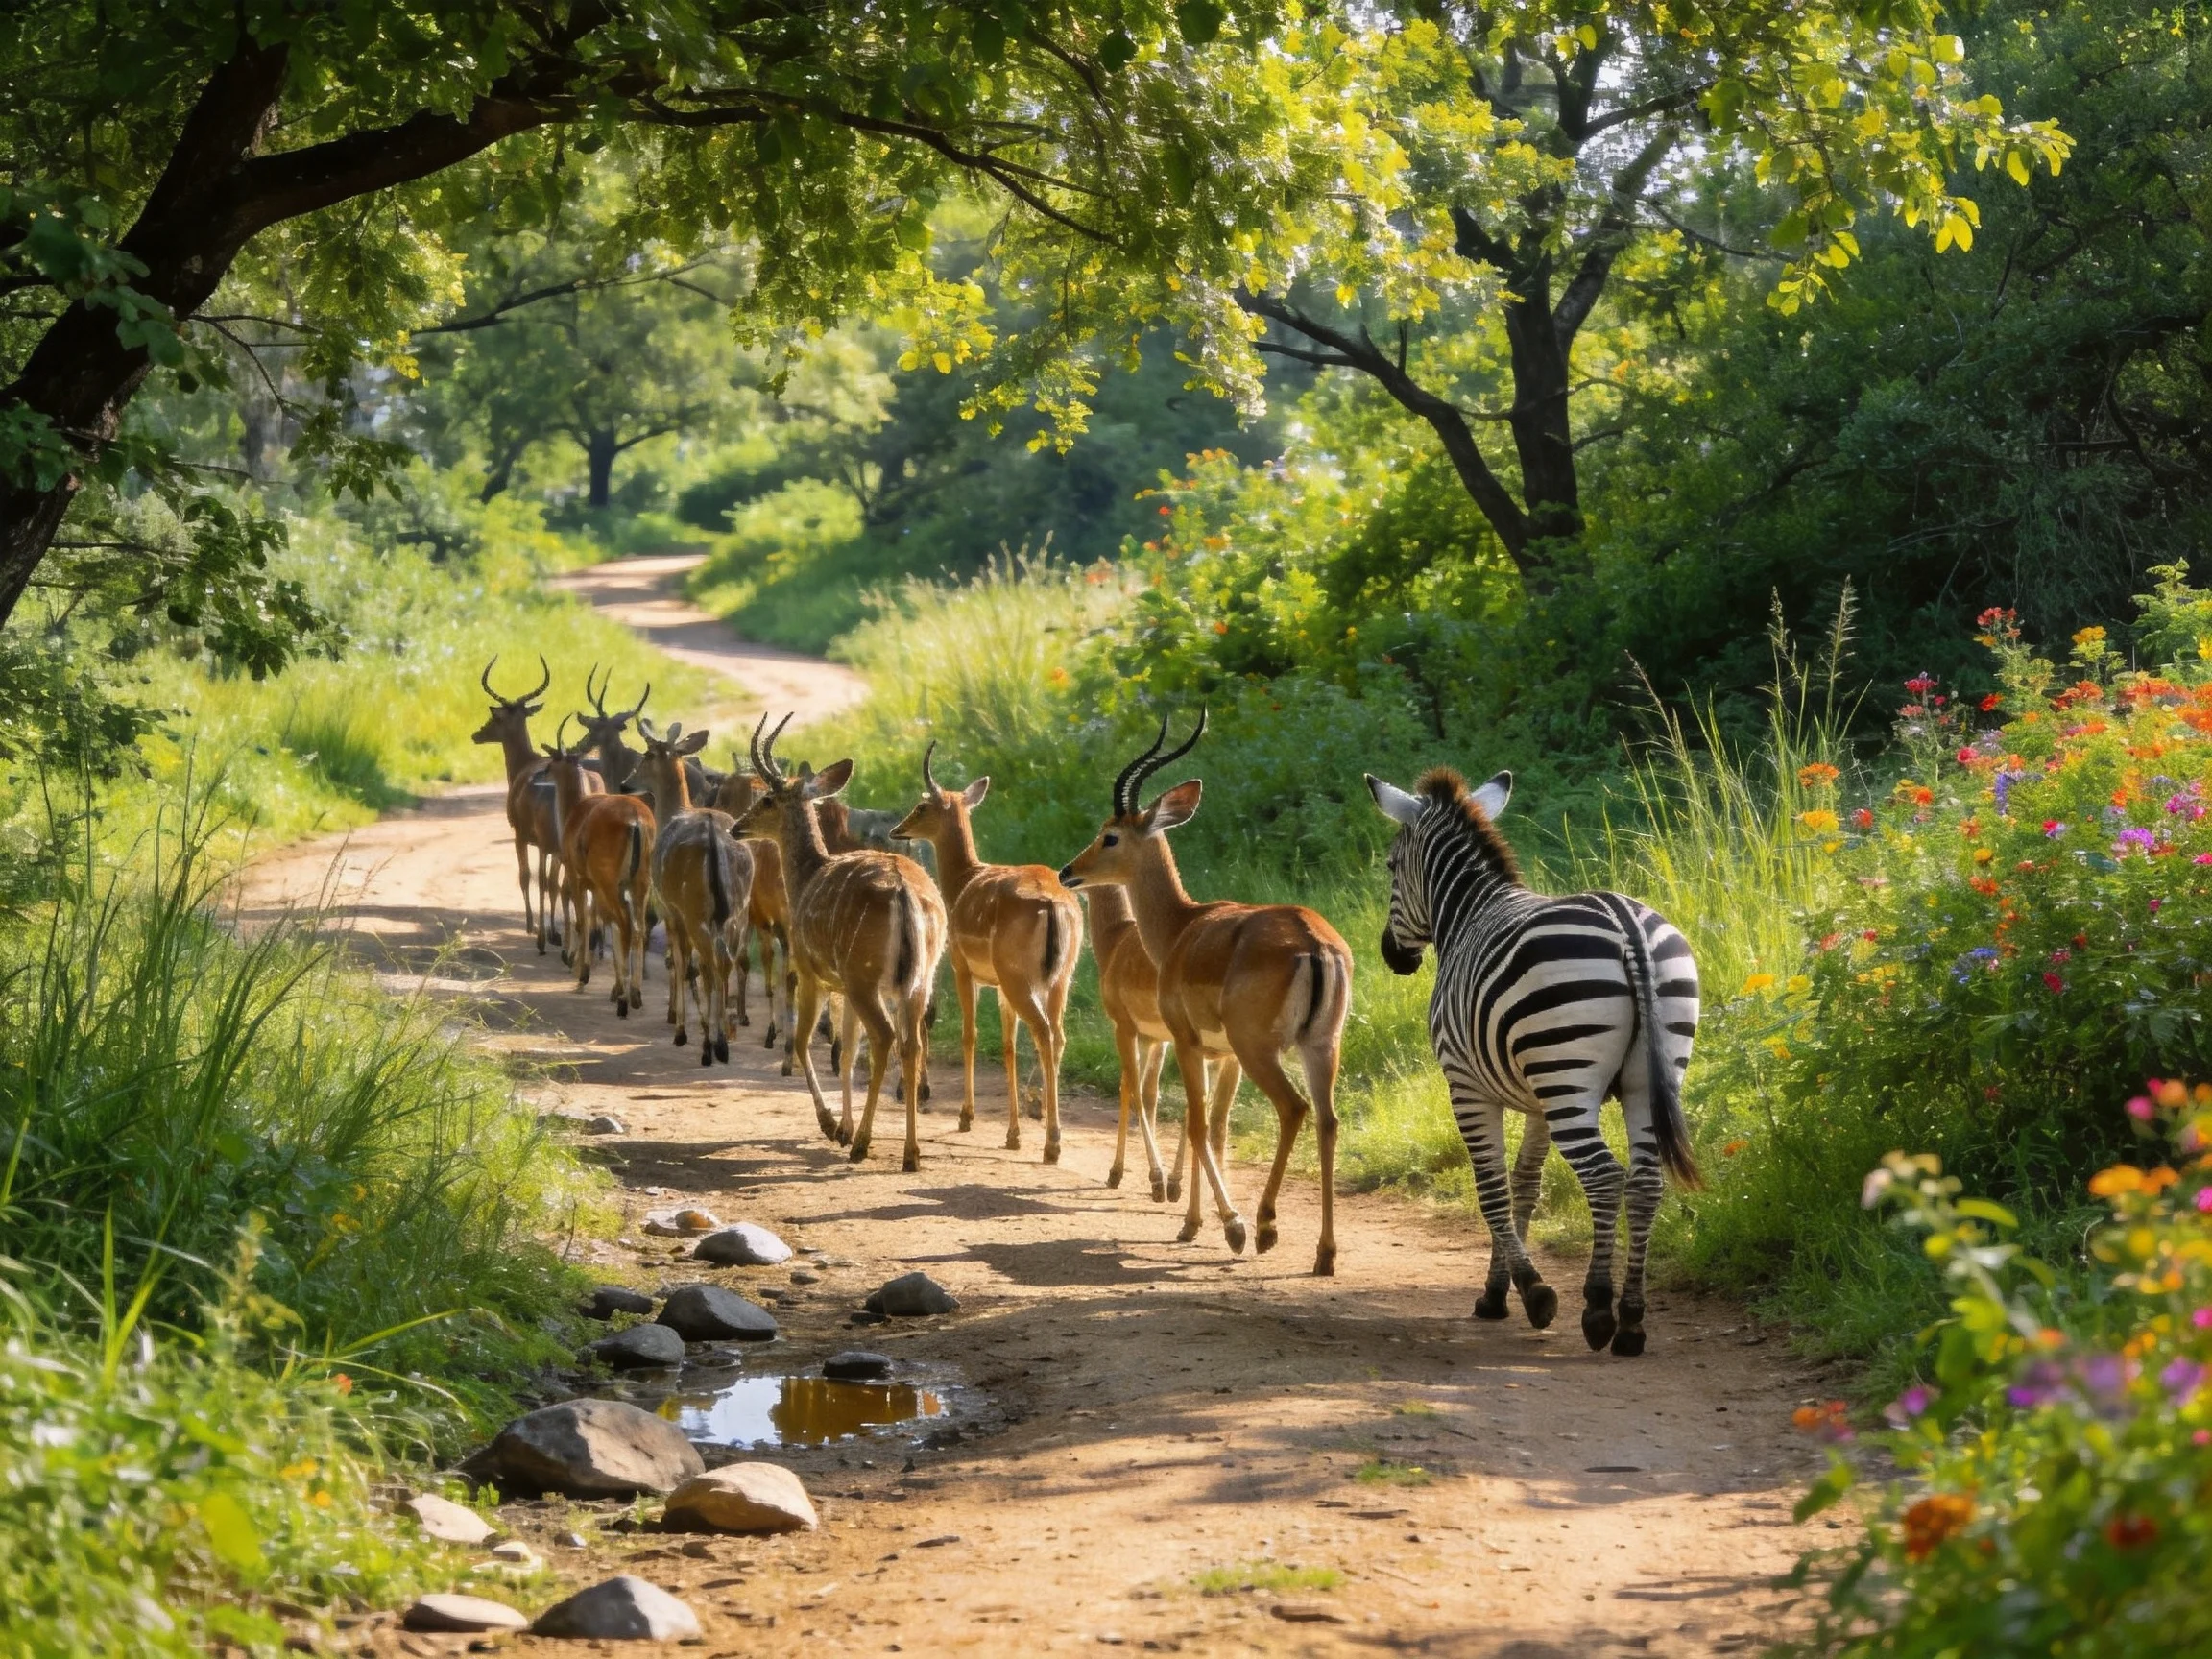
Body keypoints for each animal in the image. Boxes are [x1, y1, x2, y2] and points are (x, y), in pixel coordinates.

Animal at [1365, 766, 1701, 1357]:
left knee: (1604, 1175)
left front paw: (1532, 1293)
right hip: (1642, 1077)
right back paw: (1632, 1321)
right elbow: (1524, 1185)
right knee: (1644, 1182)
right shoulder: (1535, 1099)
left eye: (1389, 865)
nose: (1393, 956)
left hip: (1567, 1076)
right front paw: (1499, 1293)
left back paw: (1599, 1309)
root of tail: (1626, 923)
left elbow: (1492, 1188)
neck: (1469, 911)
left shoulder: (1465, 1085)